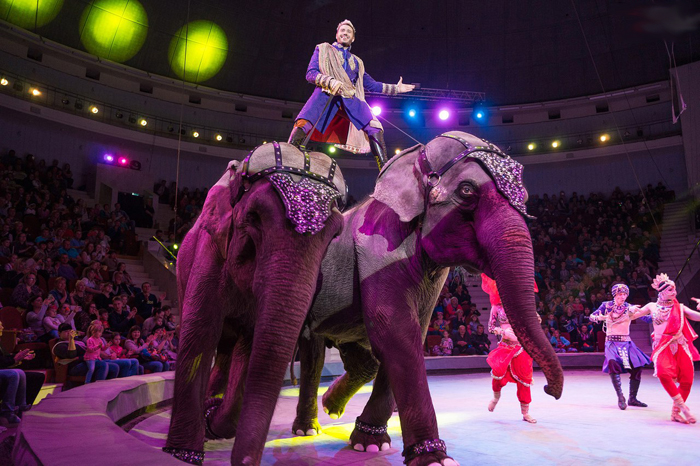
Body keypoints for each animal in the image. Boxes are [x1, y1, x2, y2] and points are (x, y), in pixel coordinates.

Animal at [167, 140, 348, 464]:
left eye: (334, 234)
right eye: (252, 219)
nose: (249, 460)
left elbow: (250, 345)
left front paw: (213, 418)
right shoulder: (210, 252)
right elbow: (199, 335)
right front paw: (183, 452)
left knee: (232, 349)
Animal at [288, 129, 568, 464]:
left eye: (524, 199)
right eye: (466, 191)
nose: (549, 391)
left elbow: (412, 332)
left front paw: (370, 443)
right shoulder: (378, 248)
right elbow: (397, 332)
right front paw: (434, 458)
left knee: (363, 359)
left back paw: (331, 407)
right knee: (313, 355)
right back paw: (307, 428)